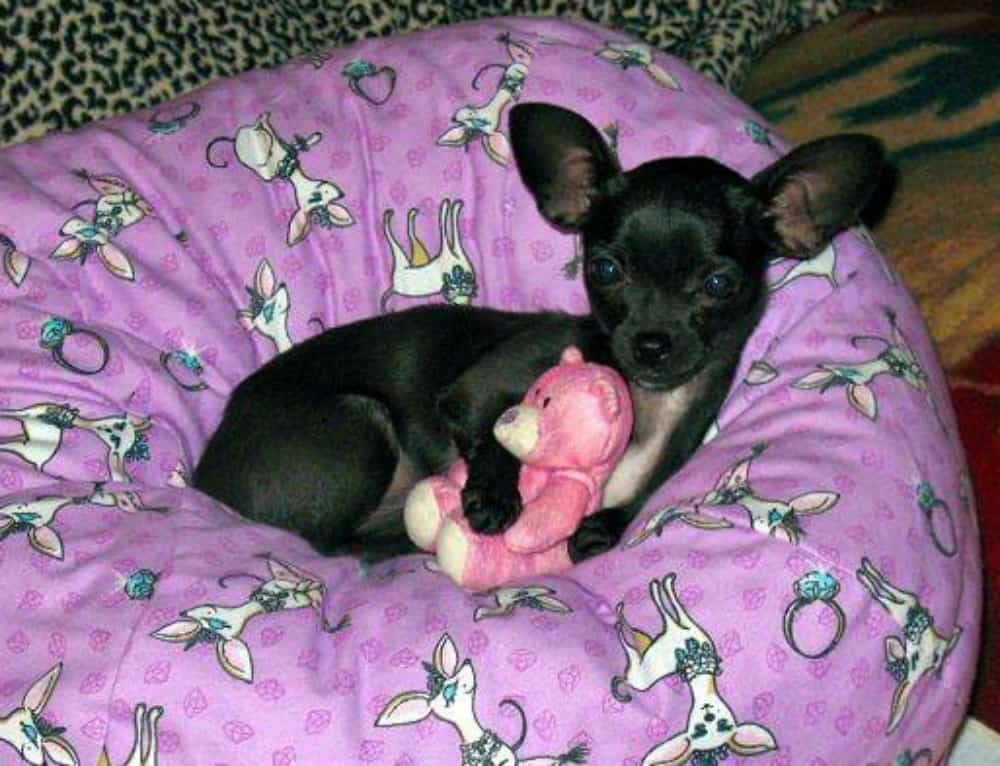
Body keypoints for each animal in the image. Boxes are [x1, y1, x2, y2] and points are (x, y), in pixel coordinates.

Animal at [193, 103, 884, 564]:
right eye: (604, 270)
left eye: (719, 284)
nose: (651, 343)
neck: (652, 403)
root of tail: (202, 477)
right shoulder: (475, 393)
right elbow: (495, 435)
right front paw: (494, 498)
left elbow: (635, 504)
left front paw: (603, 528)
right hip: (361, 423)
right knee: (325, 544)